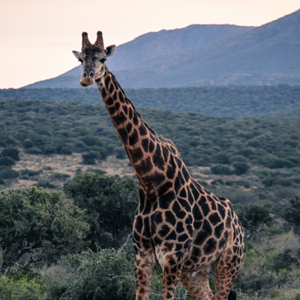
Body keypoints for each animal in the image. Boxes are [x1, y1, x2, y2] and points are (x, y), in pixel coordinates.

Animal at [72, 31, 244, 300]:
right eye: (81, 59)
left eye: (103, 58)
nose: (87, 77)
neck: (151, 181)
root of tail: (238, 224)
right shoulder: (142, 256)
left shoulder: (172, 257)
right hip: (195, 271)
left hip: (228, 263)